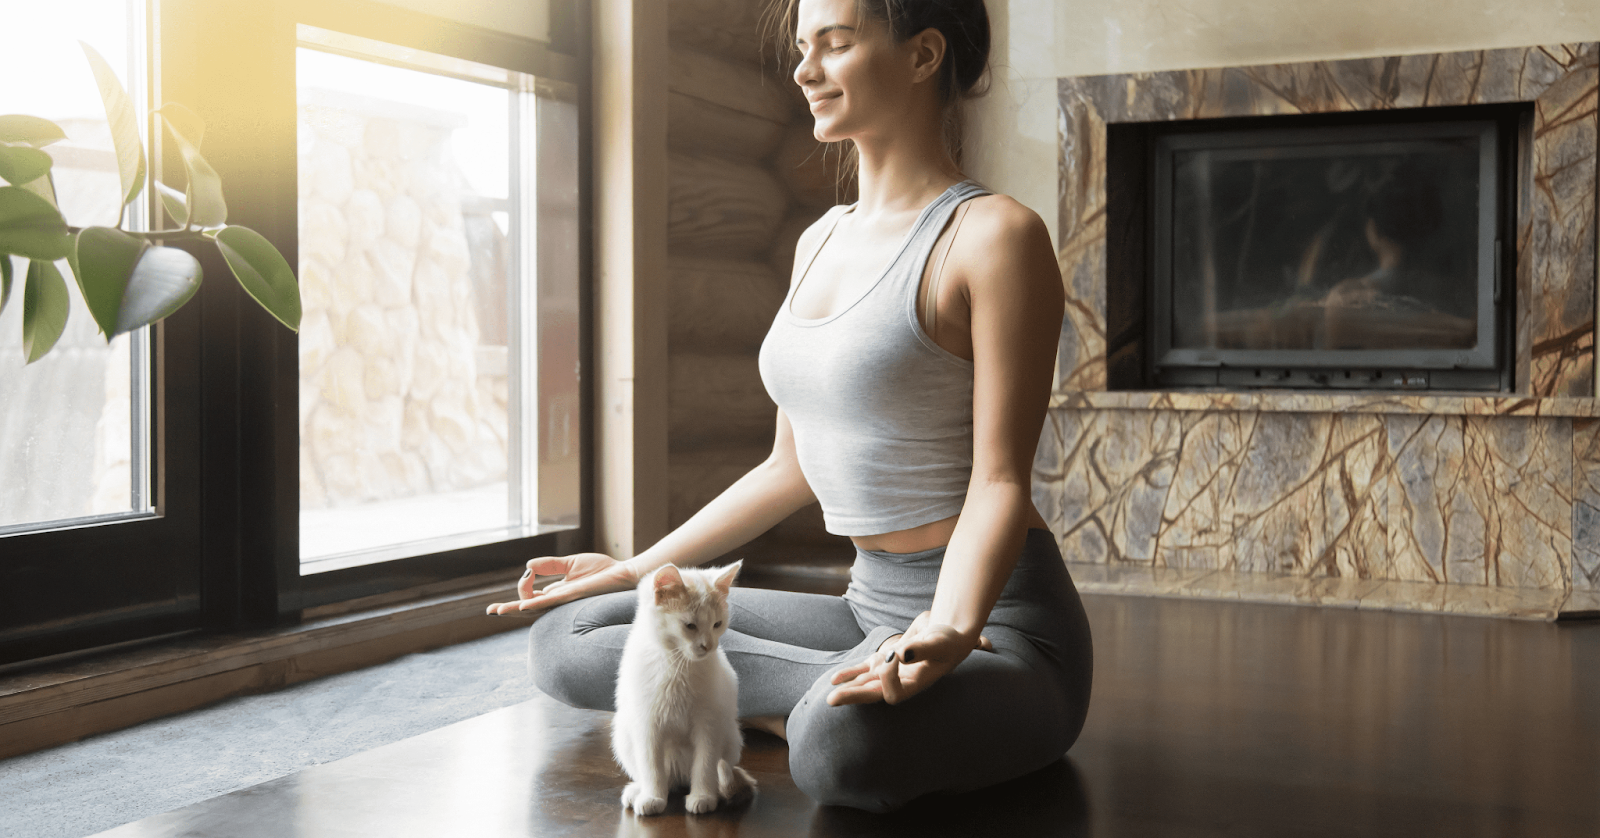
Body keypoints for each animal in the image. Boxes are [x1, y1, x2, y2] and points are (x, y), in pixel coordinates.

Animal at [614, 559, 758, 815]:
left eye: (717, 624)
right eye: (690, 625)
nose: (708, 646)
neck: (677, 663)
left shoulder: (709, 722)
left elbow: (705, 763)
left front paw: (703, 796)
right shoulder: (646, 723)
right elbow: (651, 766)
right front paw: (652, 797)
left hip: (731, 735)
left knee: (712, 770)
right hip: (623, 732)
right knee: (663, 777)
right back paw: (639, 790)